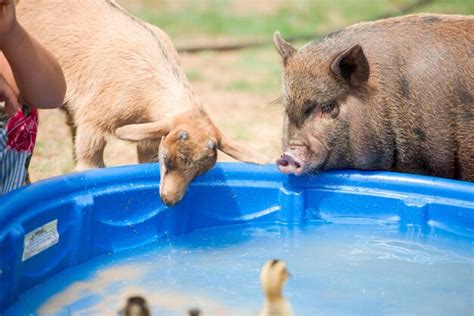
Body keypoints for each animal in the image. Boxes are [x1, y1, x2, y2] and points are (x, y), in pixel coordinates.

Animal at [16, 0, 268, 205]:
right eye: (168, 160)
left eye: (200, 171)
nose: (169, 200)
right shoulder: (94, 123)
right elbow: (91, 164)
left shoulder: (149, 132)